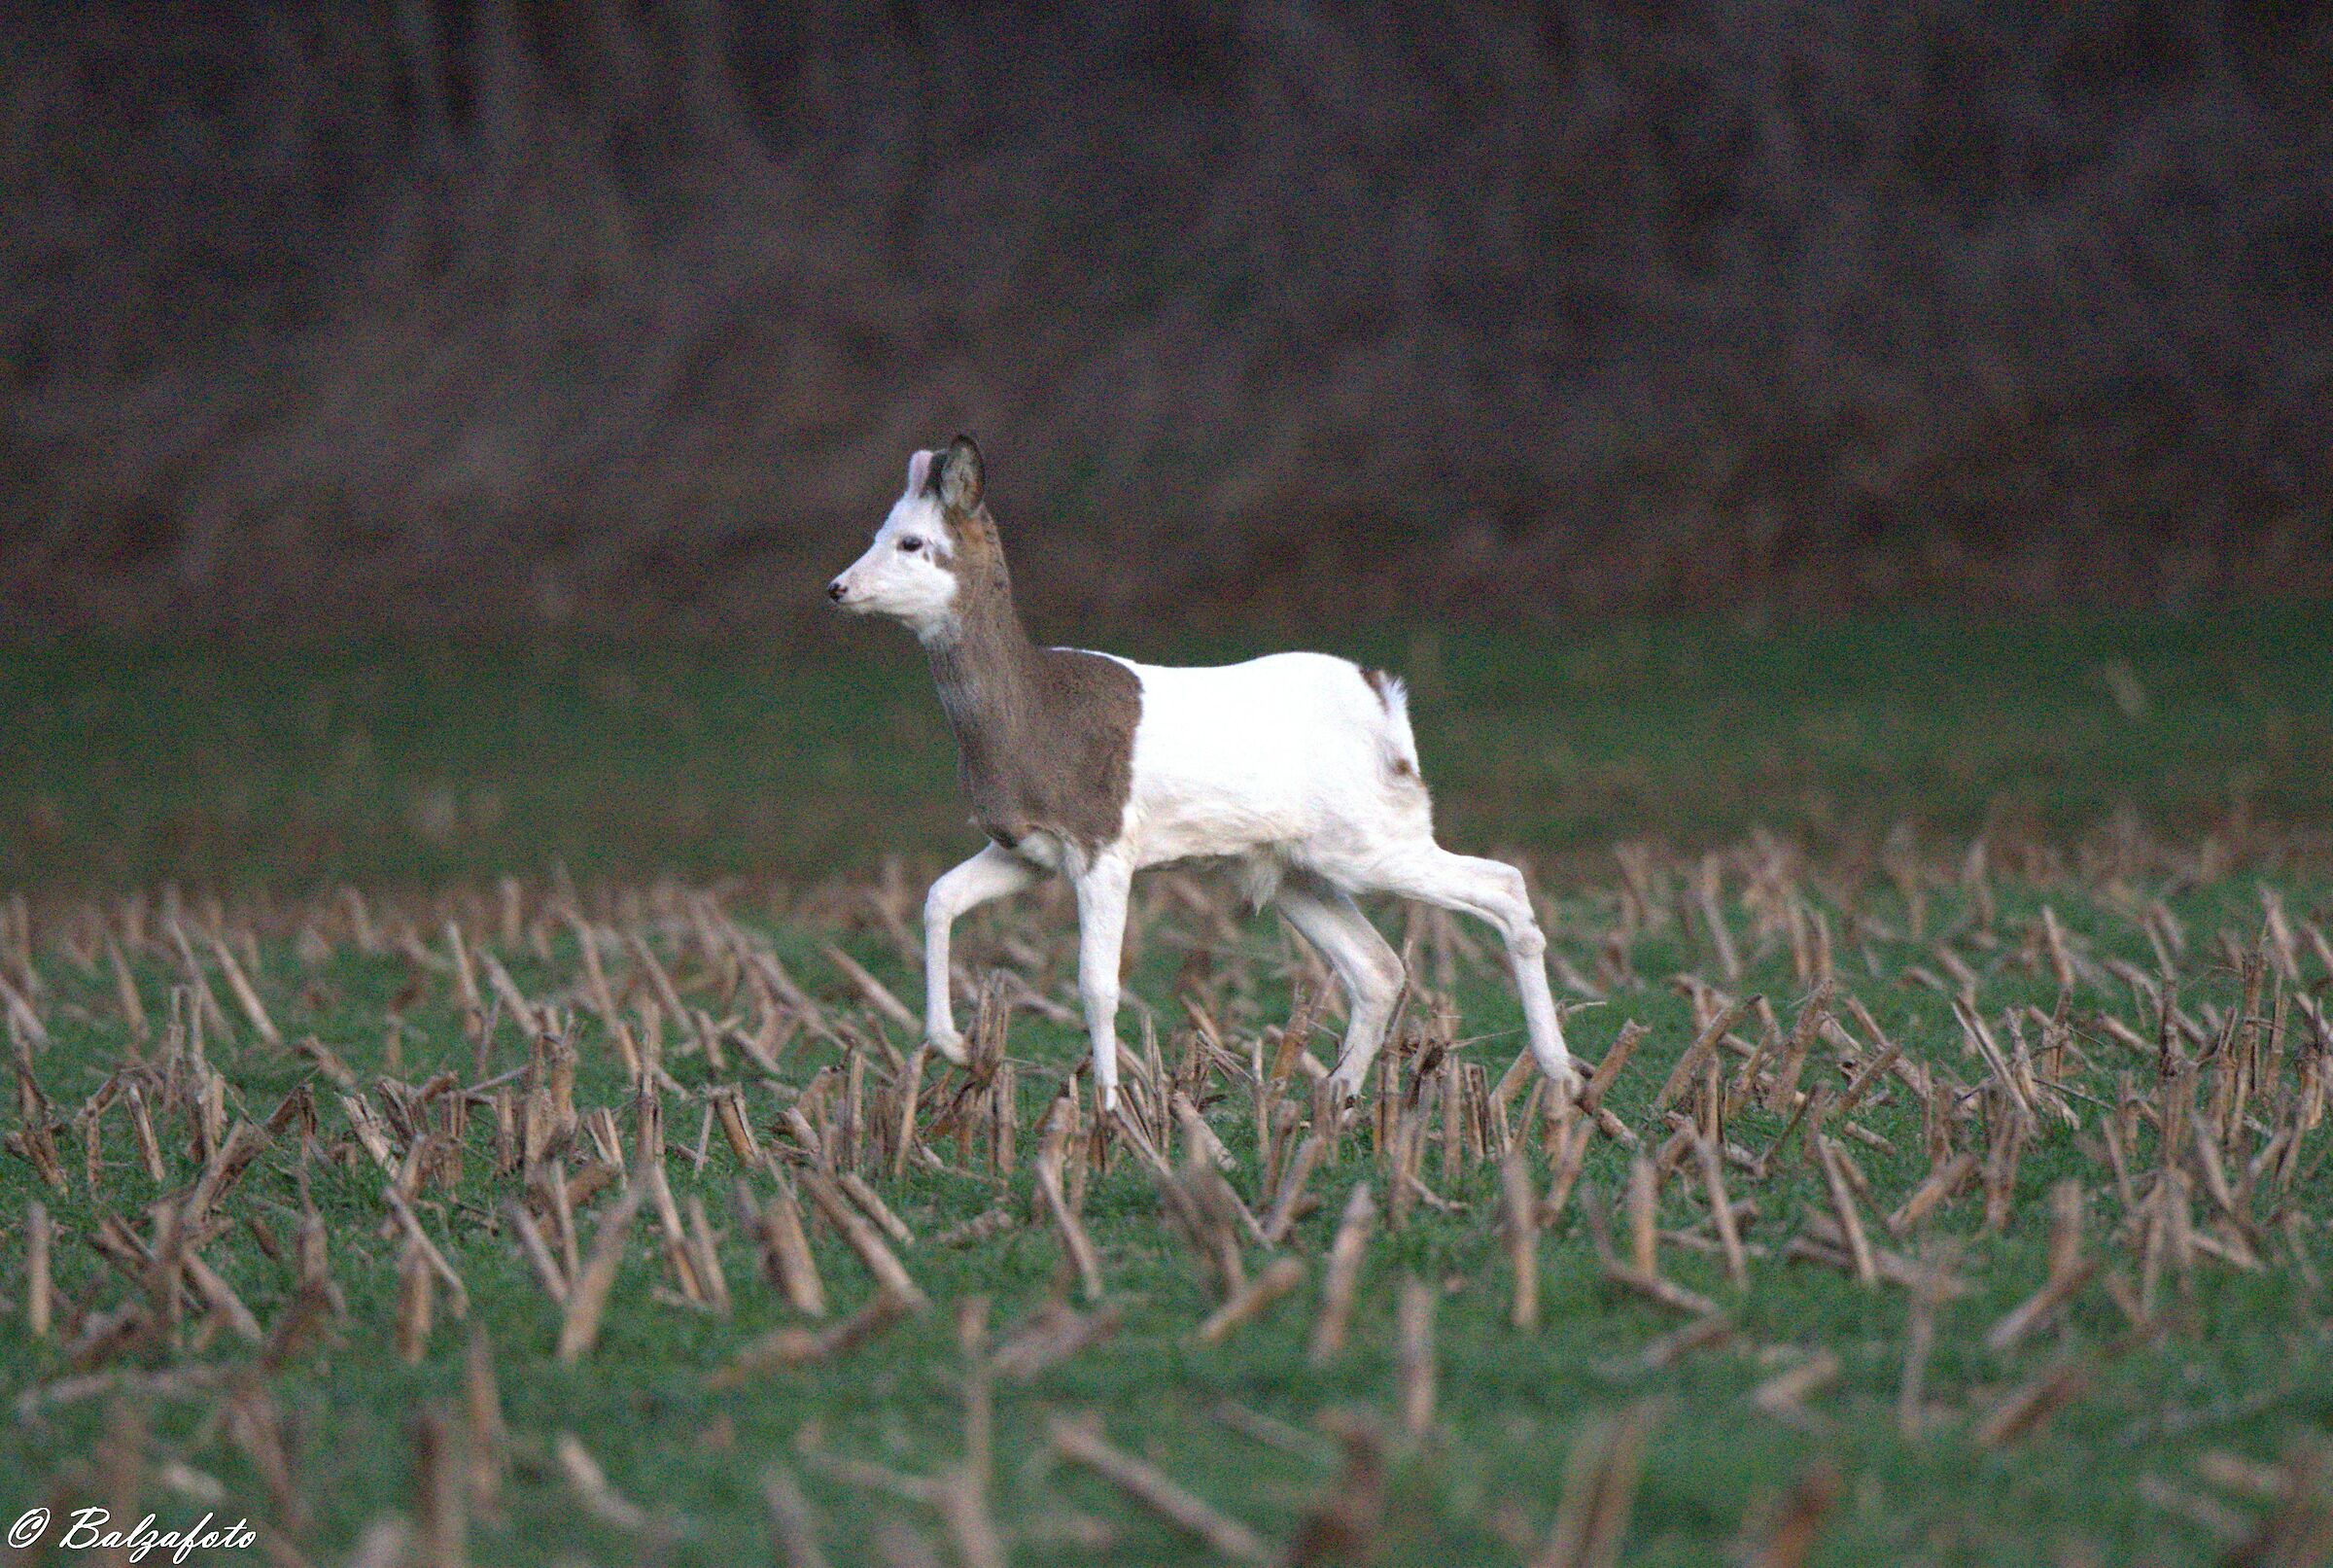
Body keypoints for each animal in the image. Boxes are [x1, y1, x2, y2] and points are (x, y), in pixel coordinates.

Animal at [827, 436, 1577, 1115]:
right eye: (877, 534)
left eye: (913, 543)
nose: (837, 587)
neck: (1032, 712)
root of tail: (1385, 700)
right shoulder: (1027, 849)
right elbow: (938, 897)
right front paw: (959, 1050)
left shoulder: (1105, 841)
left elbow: (1098, 984)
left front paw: (1110, 1112)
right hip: (1294, 866)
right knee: (1378, 967)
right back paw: (1332, 1101)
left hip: (1370, 836)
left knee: (1504, 884)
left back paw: (1559, 1076)